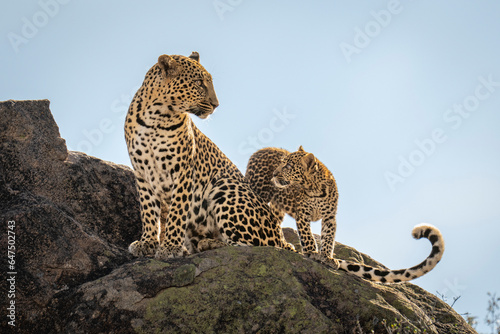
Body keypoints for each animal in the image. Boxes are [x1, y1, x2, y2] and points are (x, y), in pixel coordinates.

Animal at [125, 52, 446, 282]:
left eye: (210, 81)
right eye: (198, 83)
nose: (216, 105)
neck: (157, 117)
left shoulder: (183, 174)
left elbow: (176, 214)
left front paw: (169, 248)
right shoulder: (142, 174)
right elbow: (149, 212)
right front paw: (147, 244)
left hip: (225, 188)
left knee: (257, 246)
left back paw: (208, 246)